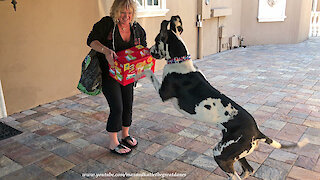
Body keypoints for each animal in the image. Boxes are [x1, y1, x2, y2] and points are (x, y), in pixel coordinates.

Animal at [140, 15, 308, 180]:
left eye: (156, 40)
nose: (149, 50)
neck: (180, 59)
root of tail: (257, 132)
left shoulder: (163, 93)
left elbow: (148, 72)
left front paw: (139, 72)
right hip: (236, 154)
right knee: (248, 170)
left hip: (221, 154)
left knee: (235, 175)